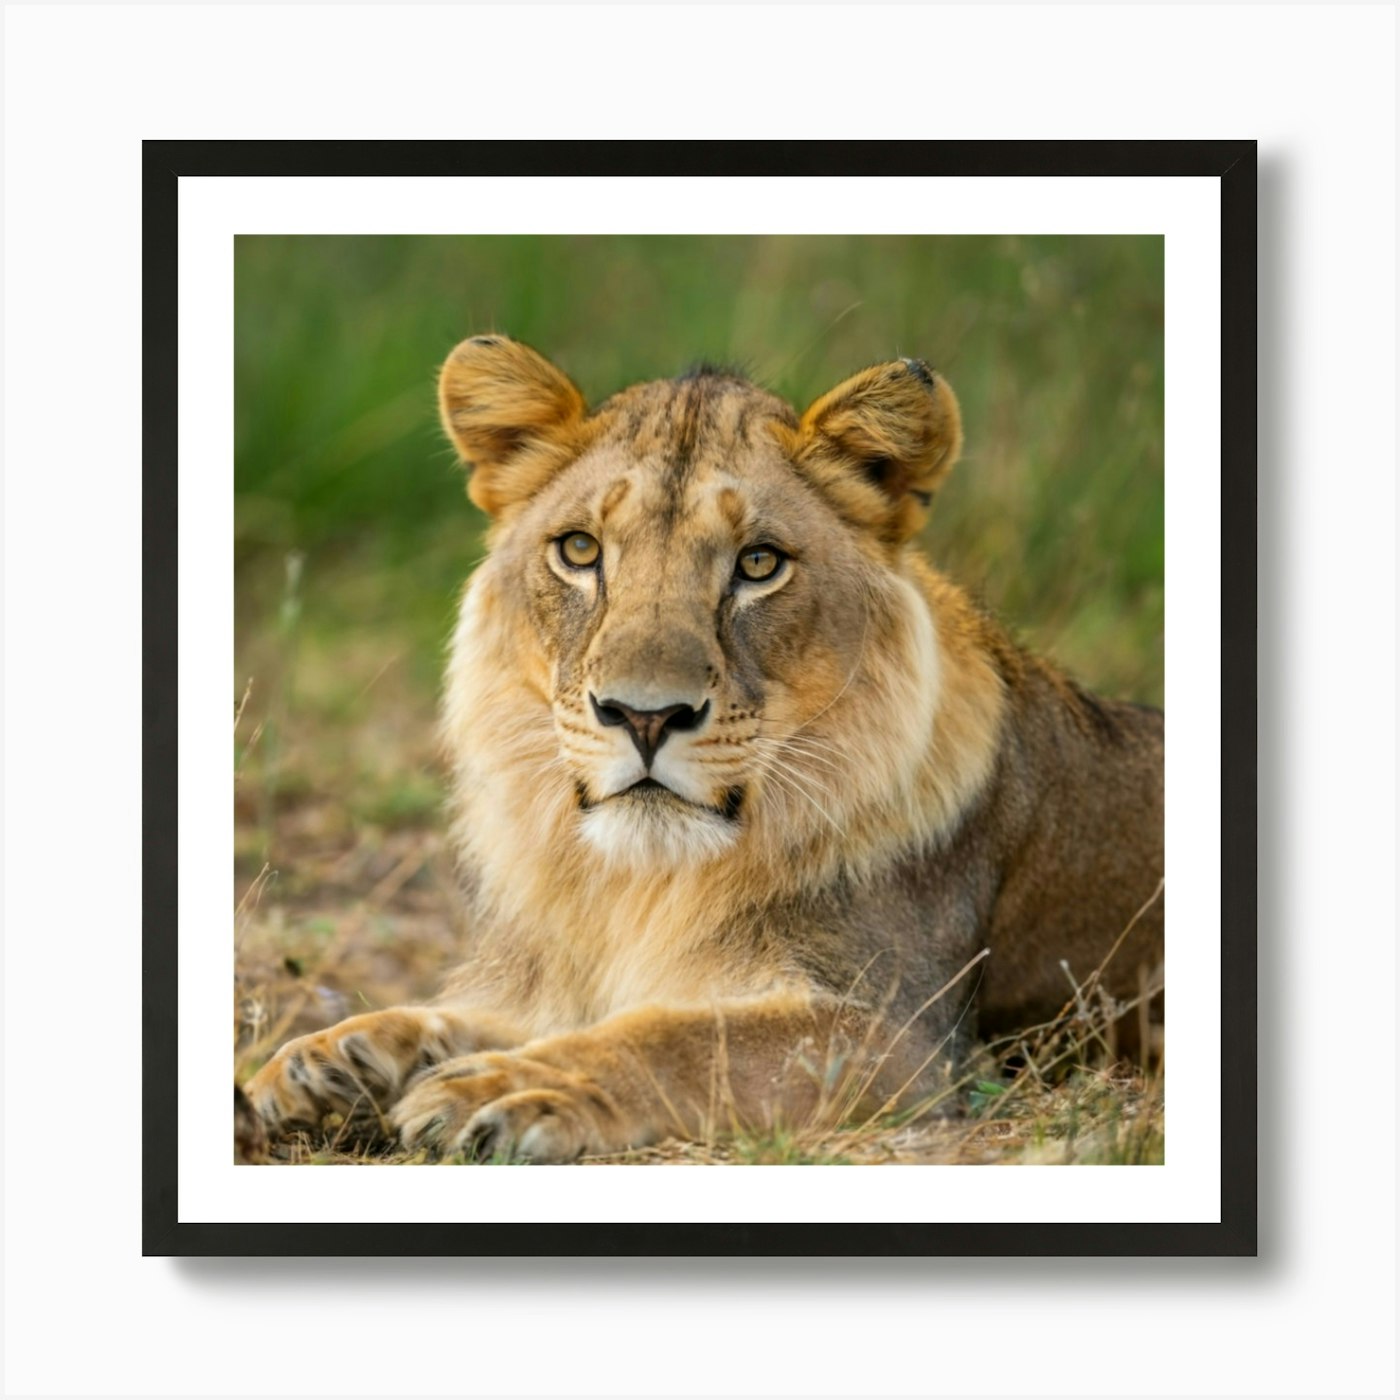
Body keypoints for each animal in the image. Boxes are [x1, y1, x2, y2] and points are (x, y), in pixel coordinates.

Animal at [243, 335, 1164, 1163]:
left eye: (759, 563)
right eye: (580, 550)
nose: (643, 716)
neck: (643, 885)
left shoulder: (900, 1038)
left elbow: (681, 1039)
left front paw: (510, 1085)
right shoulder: (561, 985)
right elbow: (465, 1017)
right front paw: (329, 1062)